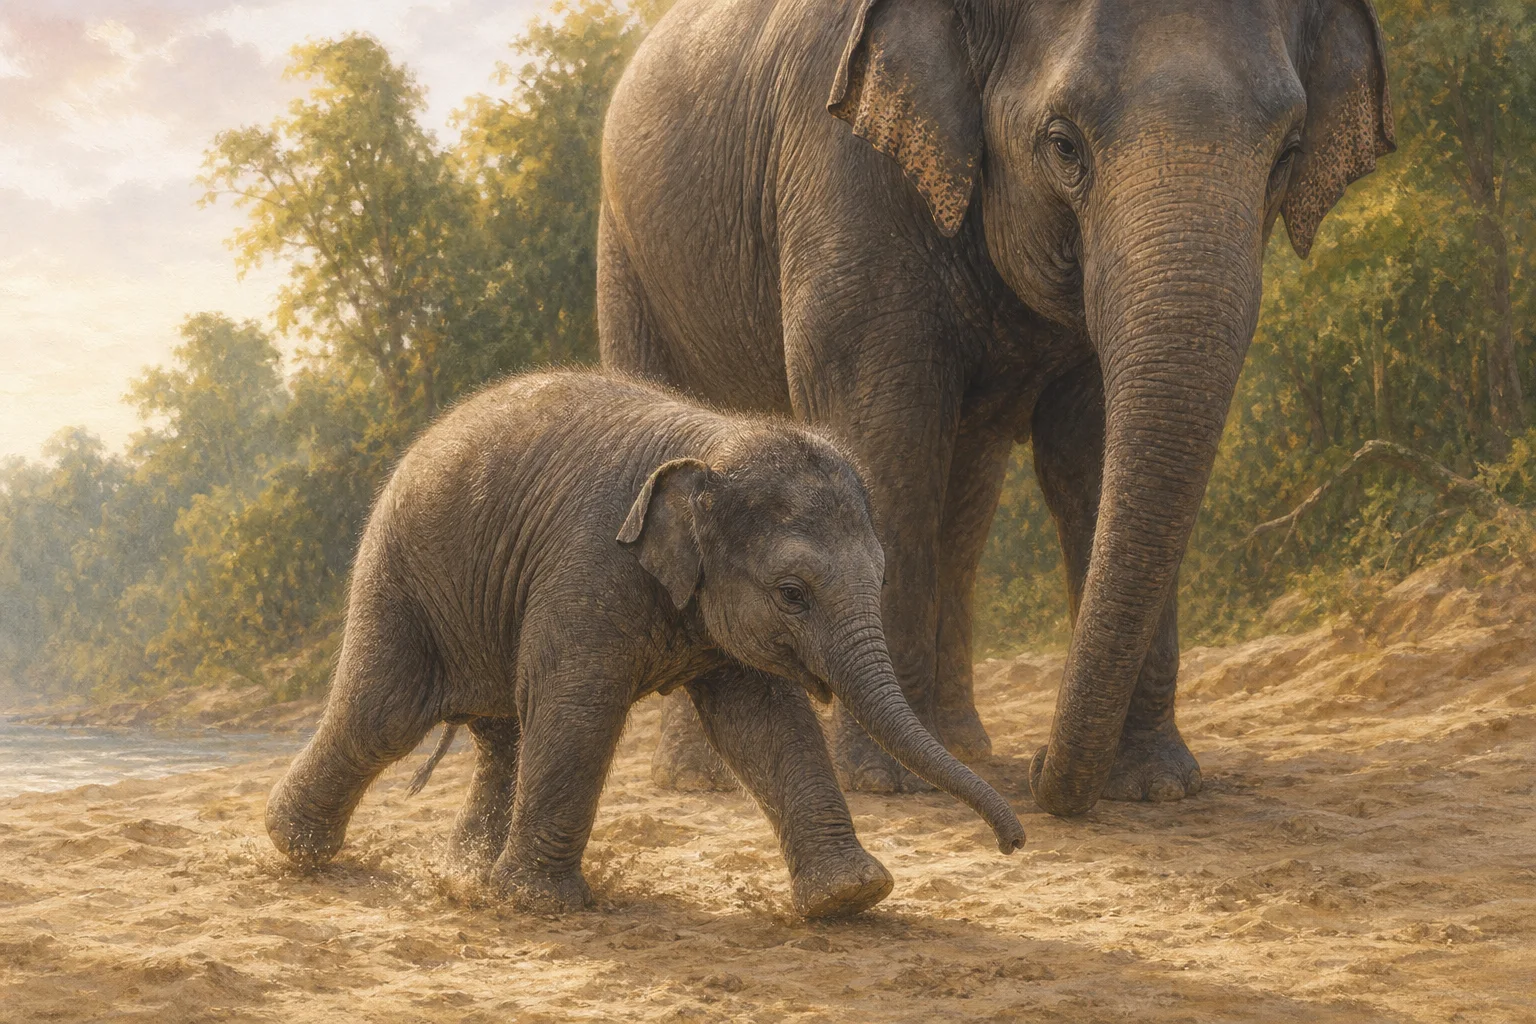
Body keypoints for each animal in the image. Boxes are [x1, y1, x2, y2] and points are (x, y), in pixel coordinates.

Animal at [264, 371, 1024, 918]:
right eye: (792, 594)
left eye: (883, 577)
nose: (1013, 843)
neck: (714, 442)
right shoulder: (590, 566)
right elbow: (579, 707)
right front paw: (540, 908)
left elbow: (765, 725)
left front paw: (849, 898)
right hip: (399, 576)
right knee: (383, 715)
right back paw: (297, 851)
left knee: (501, 736)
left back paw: (465, 881)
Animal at [597, 0, 1392, 812]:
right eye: (1063, 145)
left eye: (1288, 155)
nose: (1042, 772)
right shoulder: (841, 177)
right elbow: (887, 434)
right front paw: (884, 782)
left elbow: (1090, 449)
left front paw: (1154, 786)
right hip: (626, 255)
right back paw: (702, 776)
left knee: (968, 498)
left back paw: (962, 747)